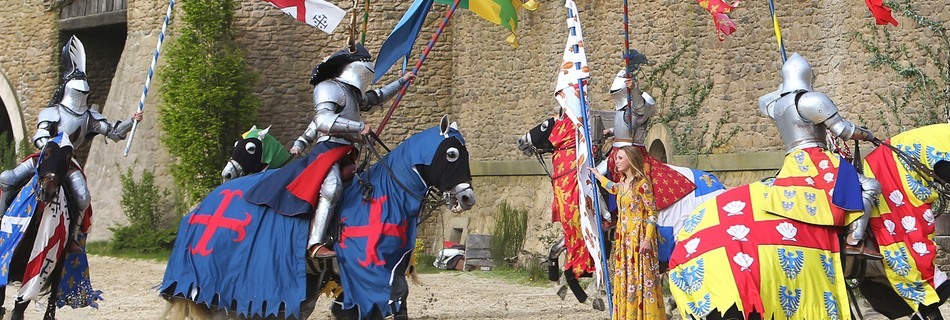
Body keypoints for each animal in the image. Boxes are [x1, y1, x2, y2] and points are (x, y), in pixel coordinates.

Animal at [0, 134, 102, 318]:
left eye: (67, 158)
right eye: (46, 154)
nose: (47, 191)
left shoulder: (32, 278)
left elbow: (19, 309)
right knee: (7, 177)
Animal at [516, 115, 724, 310]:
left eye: (545, 125)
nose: (521, 141)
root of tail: (717, 188)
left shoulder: (589, 232)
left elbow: (582, 264)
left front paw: (591, 297)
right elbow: (554, 250)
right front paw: (560, 287)